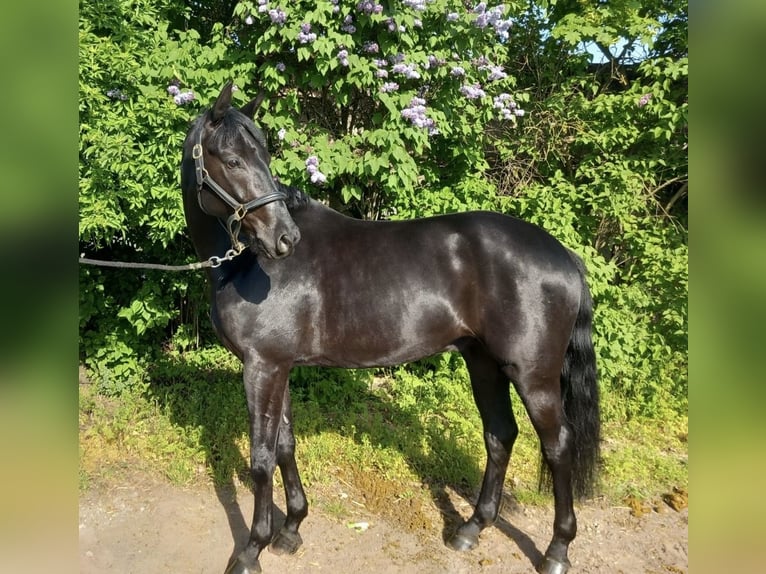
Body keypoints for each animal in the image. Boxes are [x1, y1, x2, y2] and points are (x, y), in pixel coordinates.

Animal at [180, 83, 600, 574]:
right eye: (232, 160)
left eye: (262, 156)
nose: (285, 238)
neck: (246, 263)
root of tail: (563, 255)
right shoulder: (276, 365)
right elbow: (285, 445)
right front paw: (291, 530)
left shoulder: (262, 367)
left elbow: (262, 458)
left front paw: (251, 550)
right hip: (483, 363)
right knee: (500, 435)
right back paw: (470, 530)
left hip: (533, 375)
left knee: (557, 447)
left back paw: (556, 551)